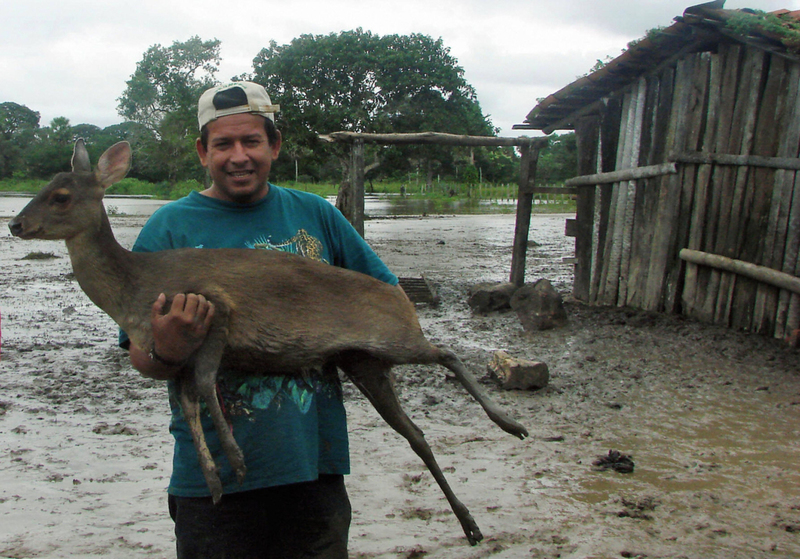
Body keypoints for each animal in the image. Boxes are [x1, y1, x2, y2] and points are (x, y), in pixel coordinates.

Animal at [7, 140, 532, 548]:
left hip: (394, 337)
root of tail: (400, 296)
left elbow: (204, 384)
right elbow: (188, 401)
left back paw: (511, 426)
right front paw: (214, 481)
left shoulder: (215, 310)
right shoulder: (171, 350)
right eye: (42, 189)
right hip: (363, 362)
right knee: (417, 434)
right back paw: (470, 524)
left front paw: (237, 462)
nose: (14, 224)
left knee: (446, 352)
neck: (135, 293)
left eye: (60, 195)